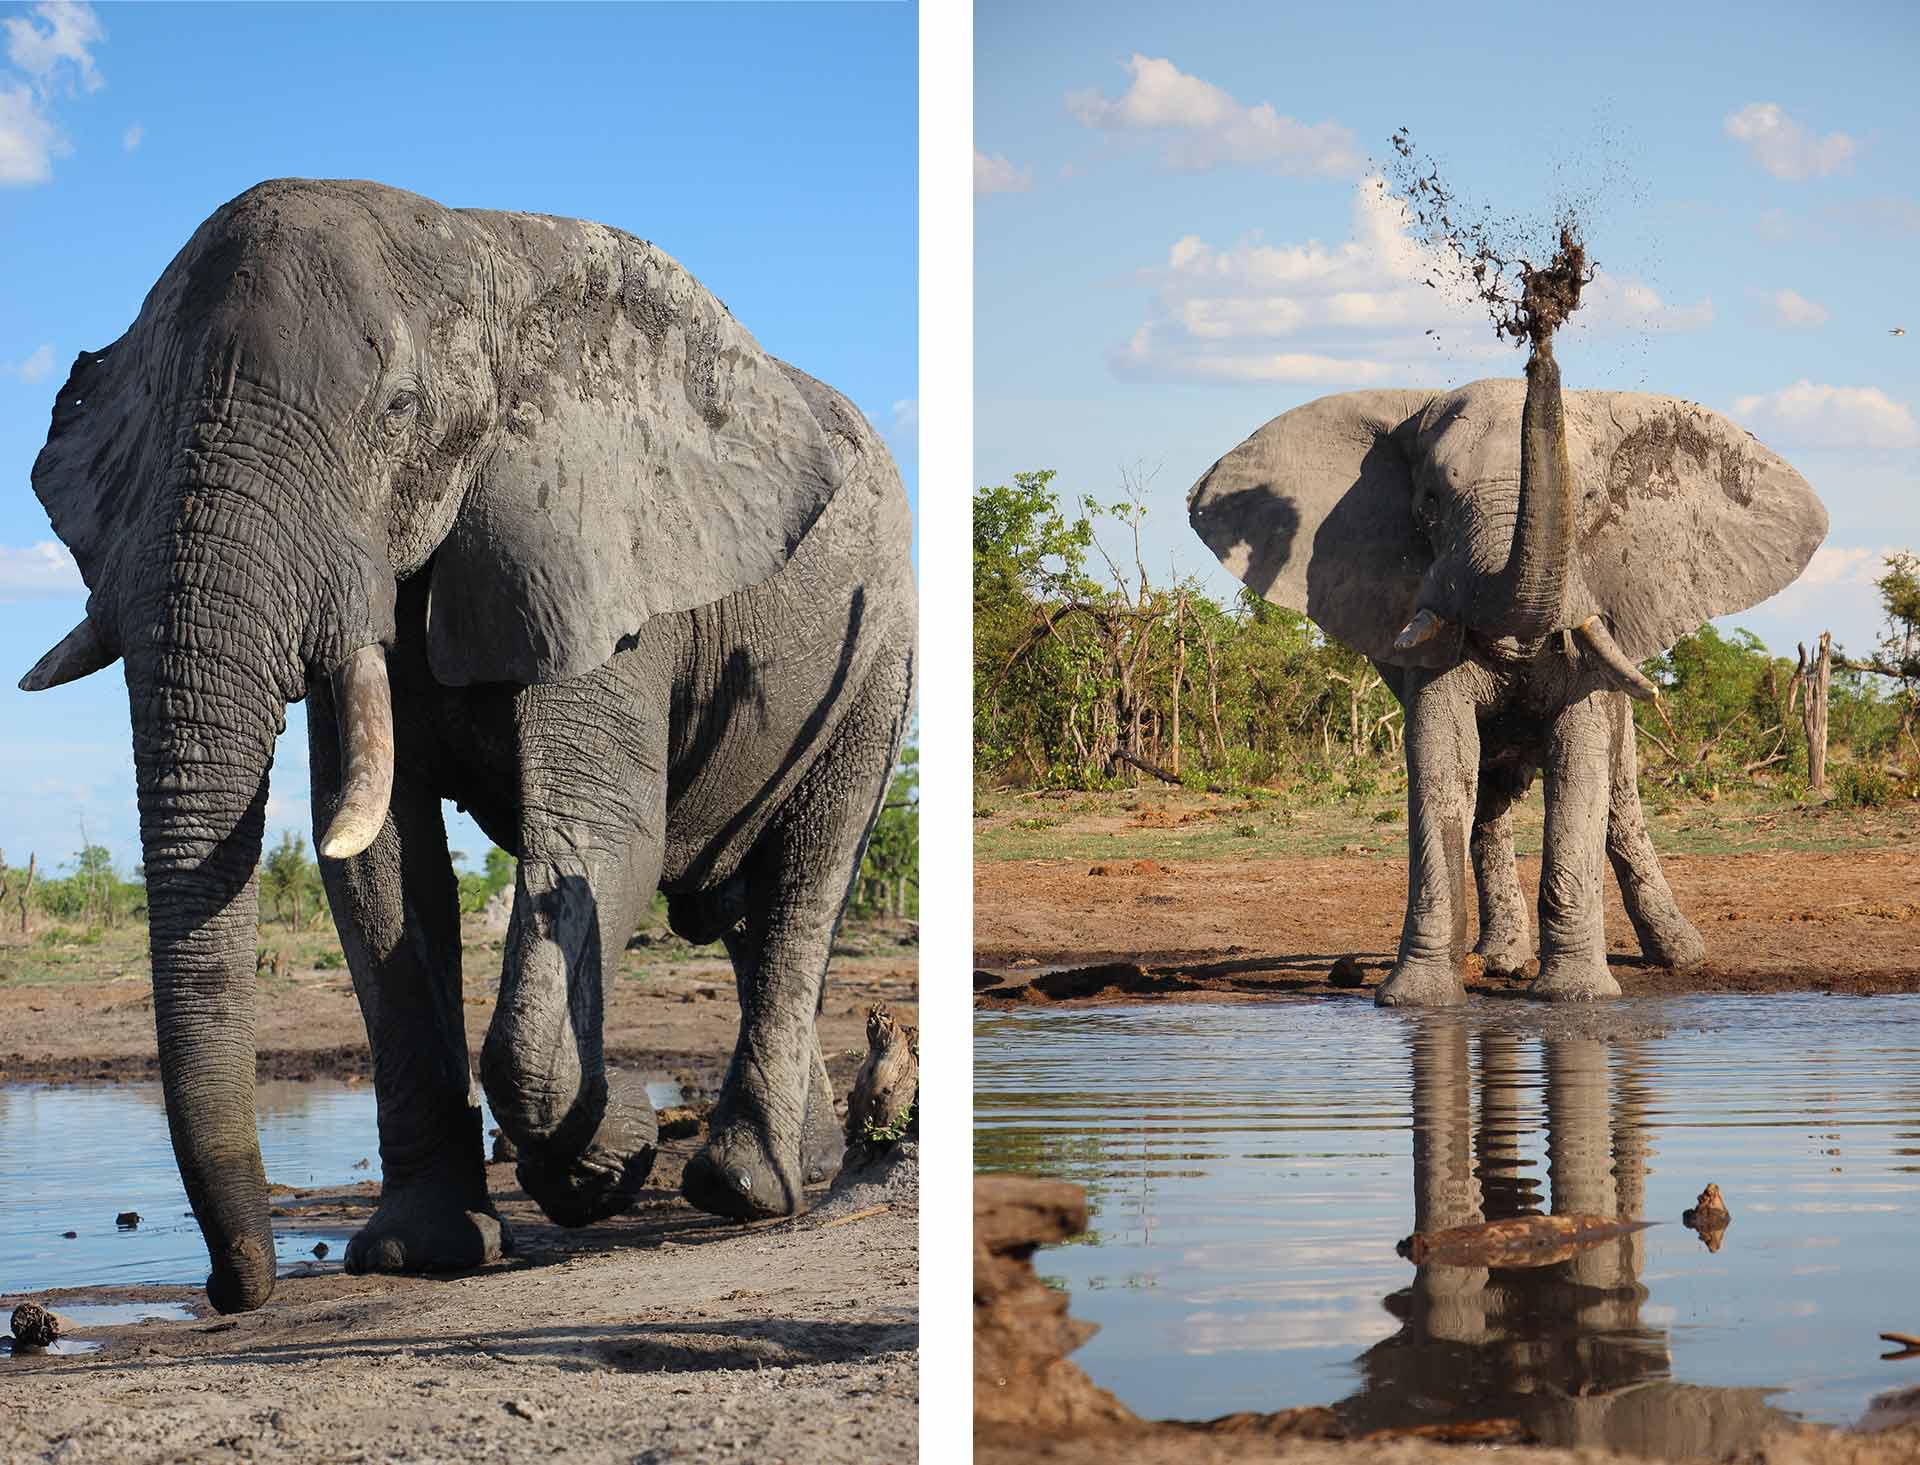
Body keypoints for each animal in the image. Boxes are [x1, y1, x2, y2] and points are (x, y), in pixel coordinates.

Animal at [15, 177, 913, 1313]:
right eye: (138, 437)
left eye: (398, 412)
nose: (231, 1289)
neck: (471, 248)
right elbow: (380, 873)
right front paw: (424, 1251)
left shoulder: (598, 557)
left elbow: (602, 834)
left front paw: (608, 1158)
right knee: (751, 921)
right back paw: (788, 1168)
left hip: (878, 651)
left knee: (810, 876)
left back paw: (742, 1187)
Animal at [1190, 349, 1820, 1006]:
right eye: (1430, 503)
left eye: (1589, 499)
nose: (1540, 346)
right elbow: (1442, 762)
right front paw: (1417, 1001)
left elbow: (1579, 765)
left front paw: (1574, 996)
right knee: (1489, 800)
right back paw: (1502, 961)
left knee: (1620, 799)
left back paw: (1680, 956)